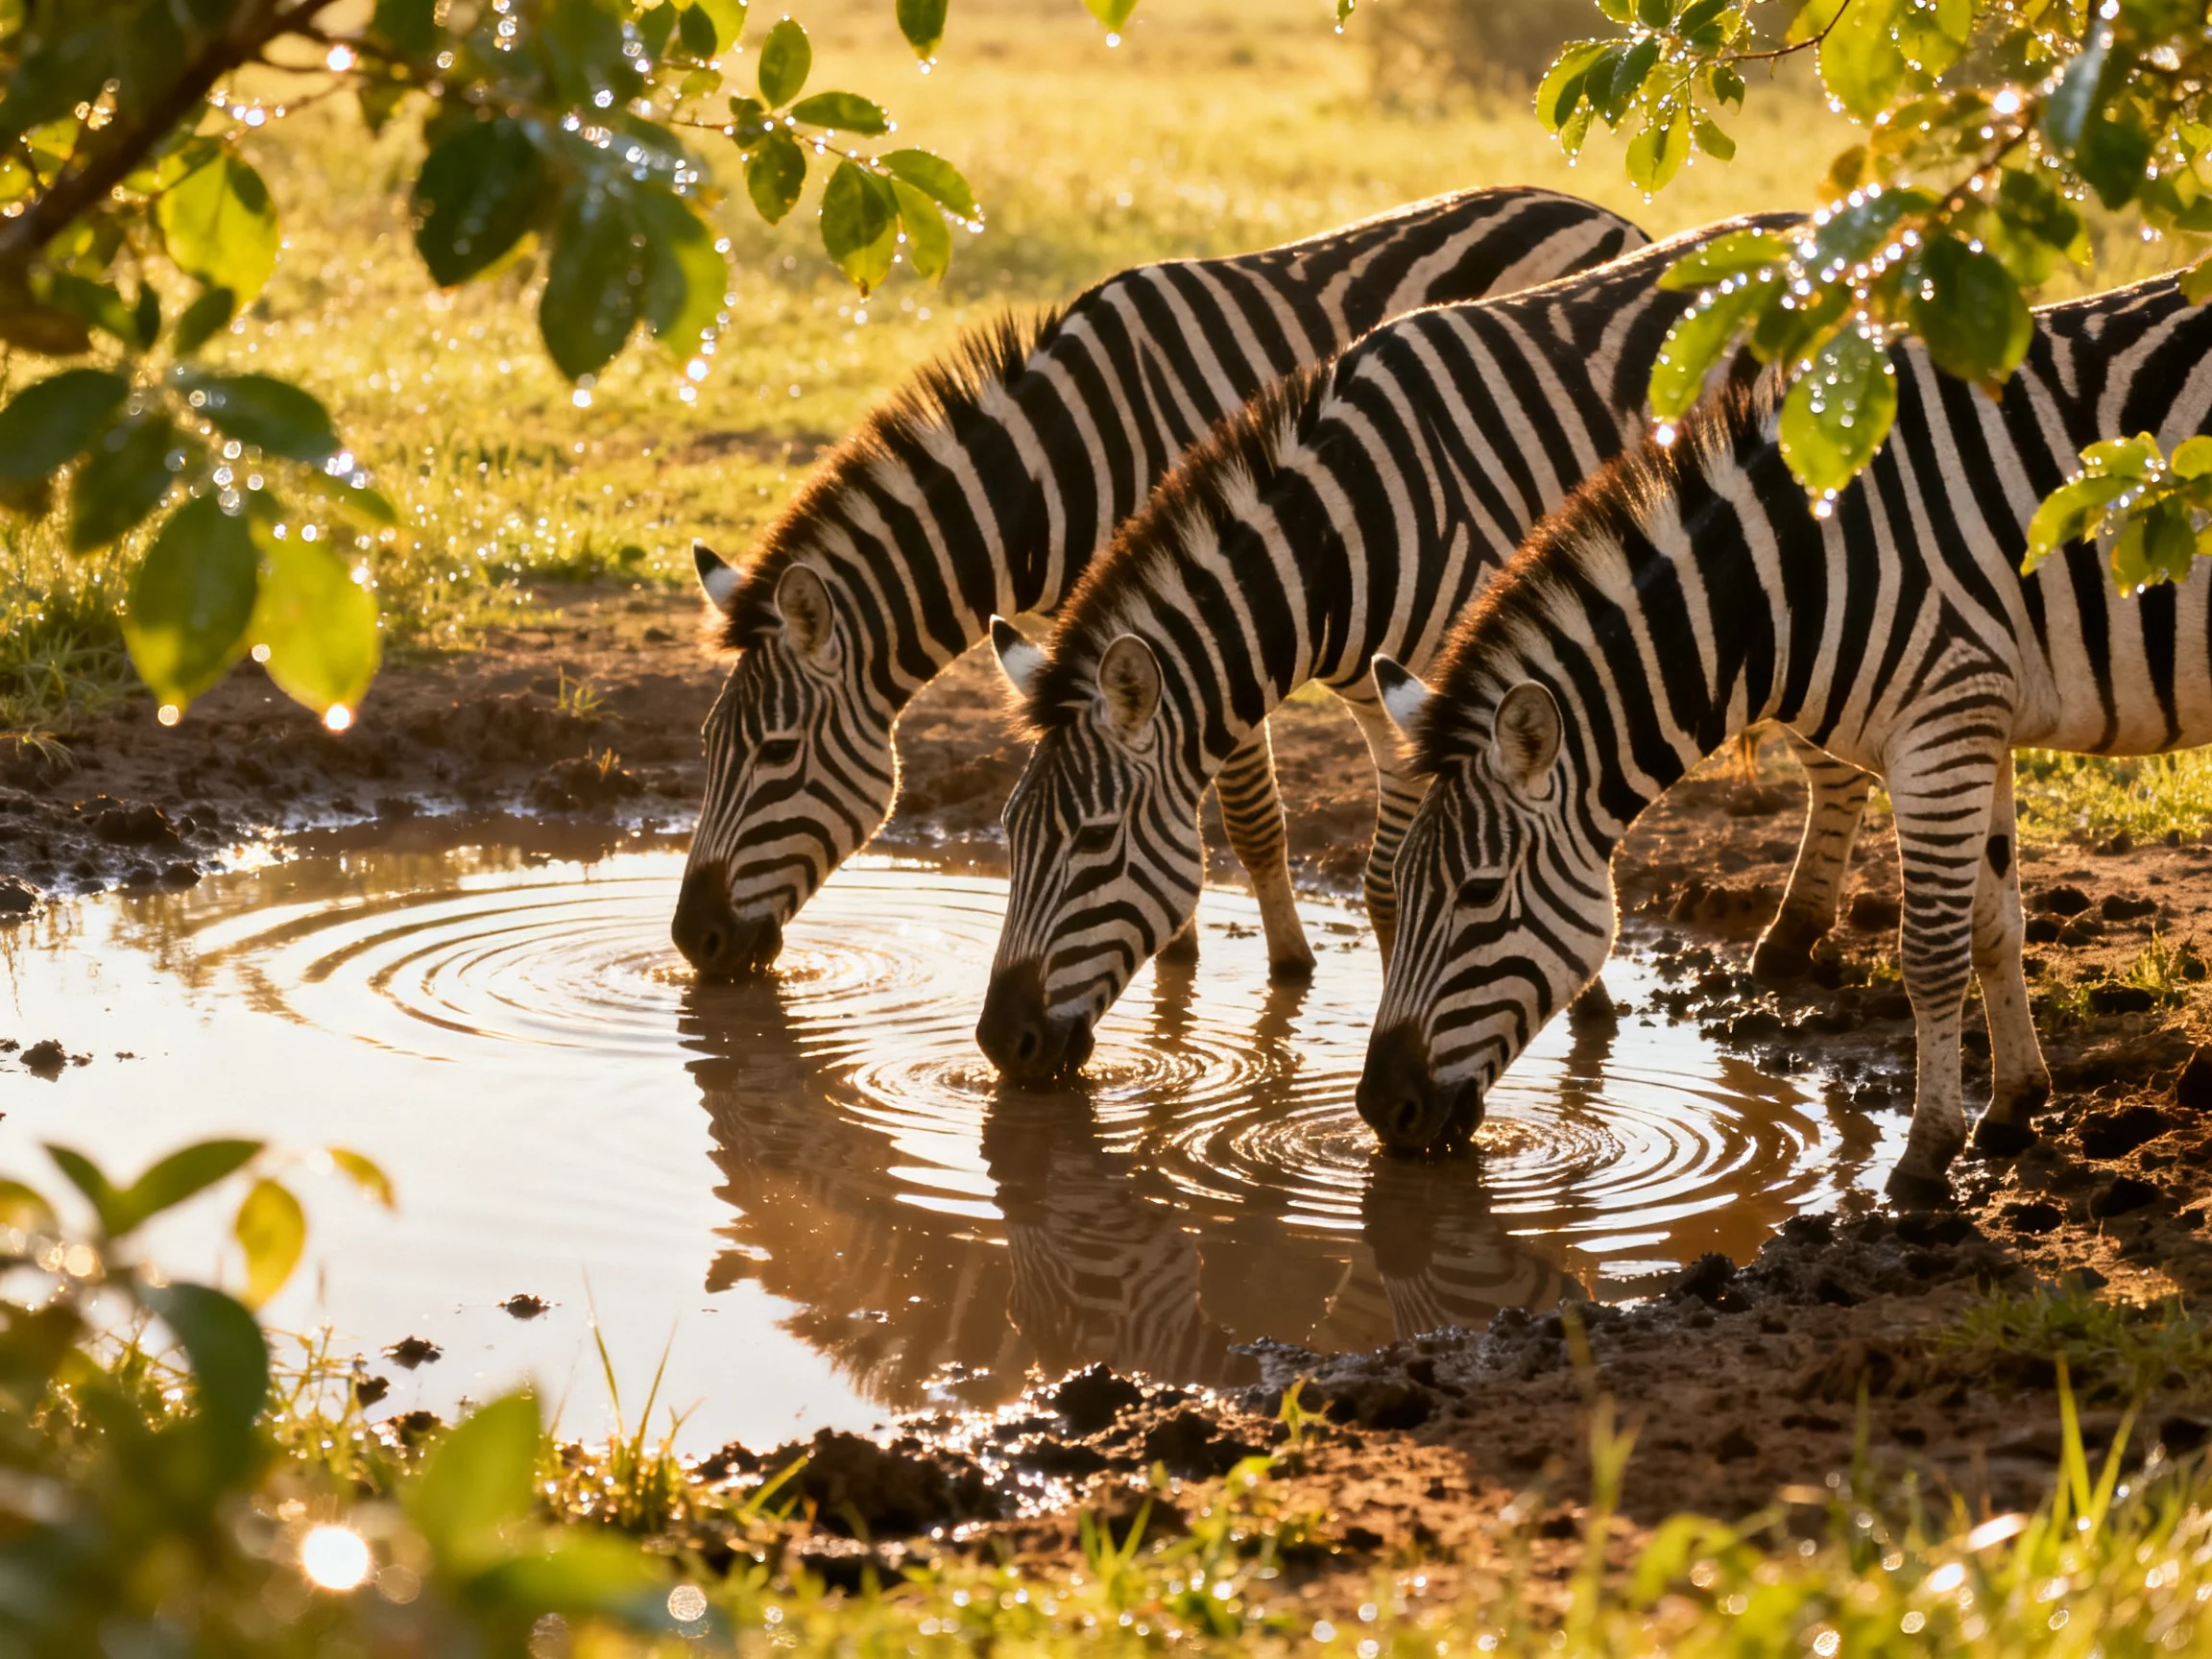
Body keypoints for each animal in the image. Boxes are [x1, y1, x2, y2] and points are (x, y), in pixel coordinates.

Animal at [671, 187, 1652, 977]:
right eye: (710, 748)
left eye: (775, 754)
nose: (693, 943)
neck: (1067, 470)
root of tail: (1594, 209)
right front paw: (1172, 955)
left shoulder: (1231, 605)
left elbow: (1250, 816)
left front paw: (1284, 970)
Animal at [977, 215, 1872, 1081]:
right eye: (1010, 831)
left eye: (1095, 840)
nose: (998, 1044)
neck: (1344, 531)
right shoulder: (1397, 693)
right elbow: (1393, 880)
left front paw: (1580, 1009)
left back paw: (1795, 938)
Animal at [1358, 272, 2212, 1202]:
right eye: (1400, 889)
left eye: (1480, 893)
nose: (1379, 1110)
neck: (1800, 576)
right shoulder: (1980, 716)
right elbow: (1995, 927)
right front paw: (2013, 1108)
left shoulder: (1941, 725)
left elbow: (1930, 955)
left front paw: (1925, 1156)